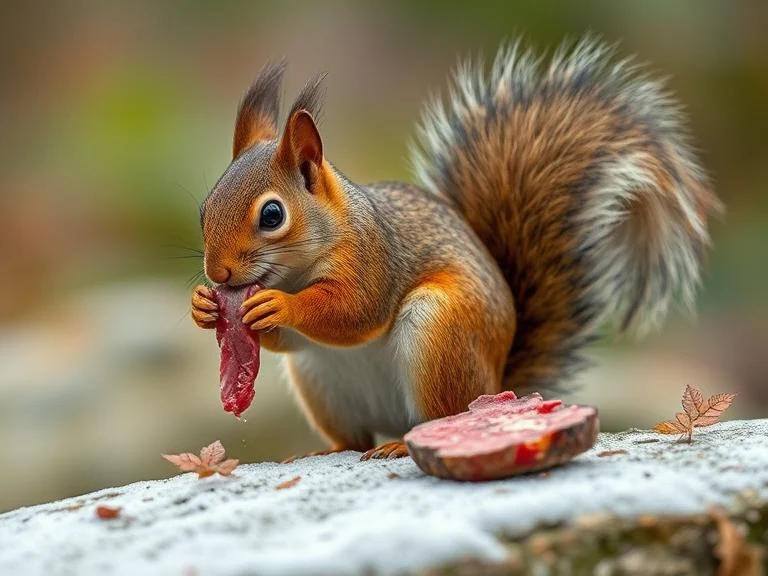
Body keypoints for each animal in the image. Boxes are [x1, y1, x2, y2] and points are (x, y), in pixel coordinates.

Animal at [191, 38, 721, 460]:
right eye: (204, 207)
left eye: (272, 215)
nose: (218, 275)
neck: (298, 268)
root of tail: (496, 385)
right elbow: (294, 340)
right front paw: (203, 308)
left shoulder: (372, 258)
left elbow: (355, 312)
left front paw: (281, 306)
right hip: (319, 382)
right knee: (353, 437)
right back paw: (326, 449)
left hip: (439, 333)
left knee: (433, 417)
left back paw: (400, 444)